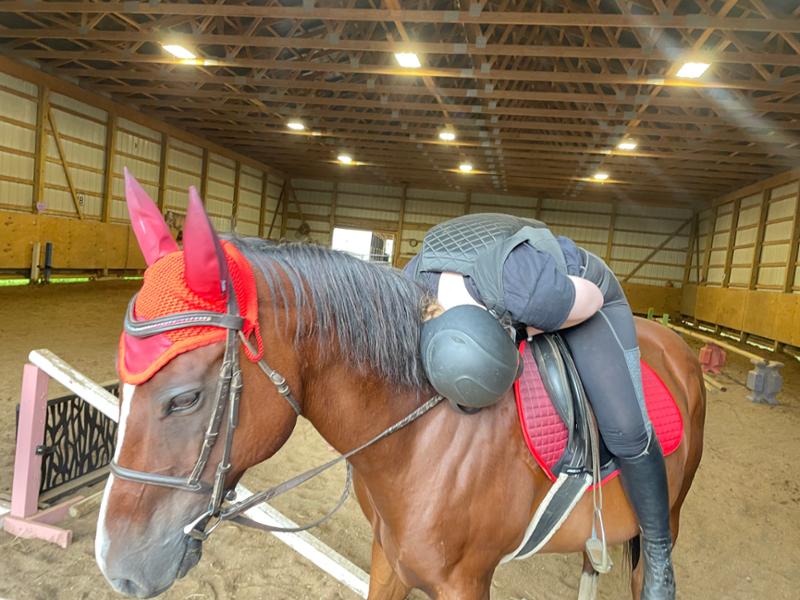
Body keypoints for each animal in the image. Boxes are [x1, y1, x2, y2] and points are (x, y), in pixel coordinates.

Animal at [95, 179, 708, 600]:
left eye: (185, 399)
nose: (116, 566)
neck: (422, 436)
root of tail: (677, 347)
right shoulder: (389, 560)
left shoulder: (464, 584)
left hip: (667, 515)